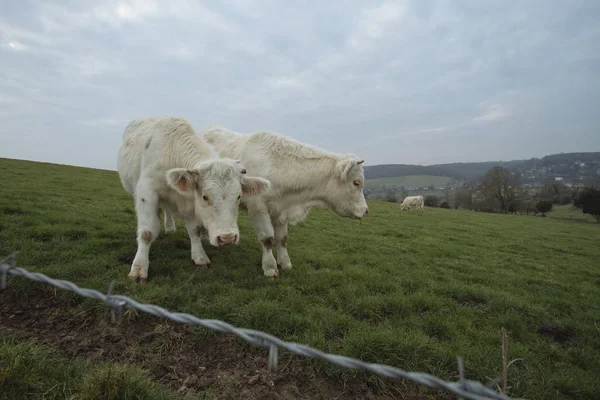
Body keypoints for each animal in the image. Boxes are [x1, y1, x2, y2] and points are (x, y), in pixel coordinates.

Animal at [115, 117, 270, 282]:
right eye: (205, 197)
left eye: (239, 196)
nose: (227, 238)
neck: (171, 153)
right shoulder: (147, 191)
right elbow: (147, 232)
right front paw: (139, 268)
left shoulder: (191, 202)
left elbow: (194, 230)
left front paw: (200, 257)